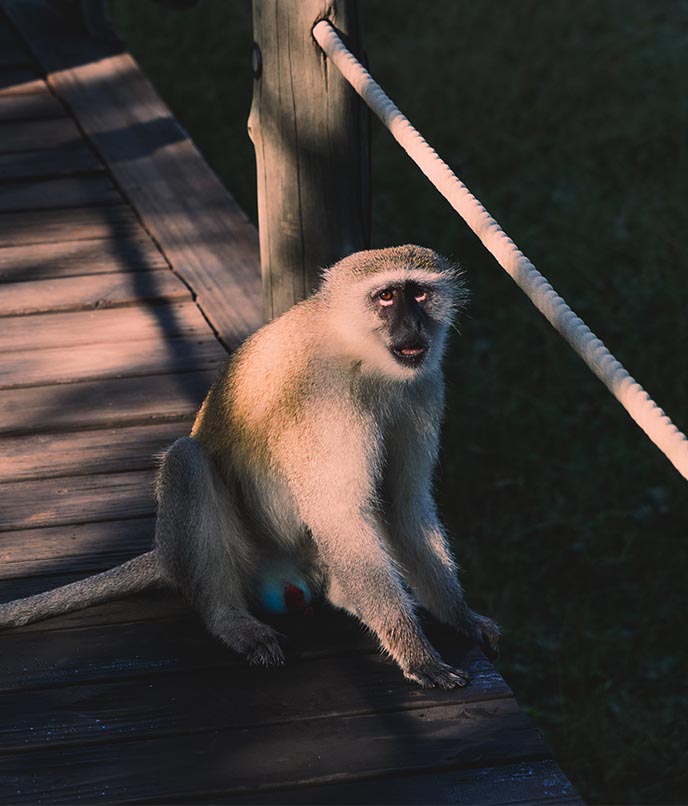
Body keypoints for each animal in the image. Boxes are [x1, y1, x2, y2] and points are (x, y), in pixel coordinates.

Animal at [0, 245, 499, 689]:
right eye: (386, 297)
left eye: (419, 294)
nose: (413, 324)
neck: (361, 354)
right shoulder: (326, 399)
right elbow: (340, 516)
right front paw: (416, 653)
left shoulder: (424, 386)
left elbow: (404, 502)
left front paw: (460, 616)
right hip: (243, 550)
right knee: (187, 461)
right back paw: (229, 620)